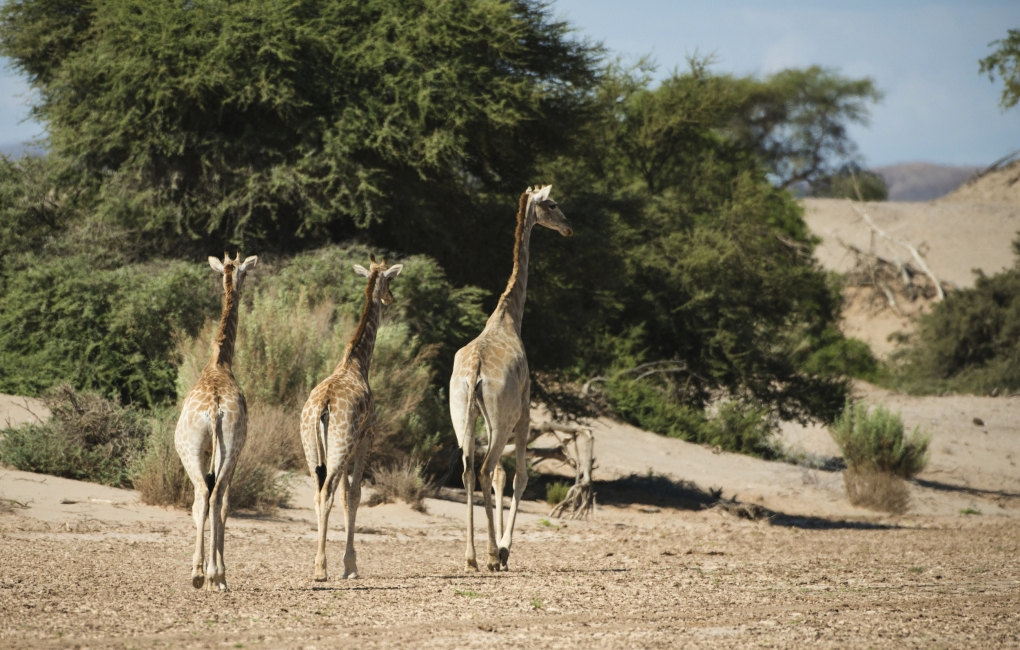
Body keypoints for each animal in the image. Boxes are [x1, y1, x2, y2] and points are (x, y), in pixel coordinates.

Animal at [299, 255, 403, 581]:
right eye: (390, 279)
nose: (390, 298)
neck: (357, 362)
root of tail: (322, 407)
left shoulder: (345, 450)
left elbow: (347, 497)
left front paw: (348, 565)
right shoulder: (365, 437)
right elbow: (355, 494)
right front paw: (351, 566)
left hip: (313, 448)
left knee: (318, 493)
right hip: (341, 444)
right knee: (327, 493)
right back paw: (320, 569)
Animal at [449, 185, 573, 571]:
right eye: (552, 204)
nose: (569, 228)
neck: (508, 316)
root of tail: (474, 371)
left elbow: (502, 476)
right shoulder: (526, 412)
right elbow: (519, 477)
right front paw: (504, 550)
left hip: (463, 415)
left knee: (468, 470)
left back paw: (471, 557)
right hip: (501, 420)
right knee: (486, 470)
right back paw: (490, 554)